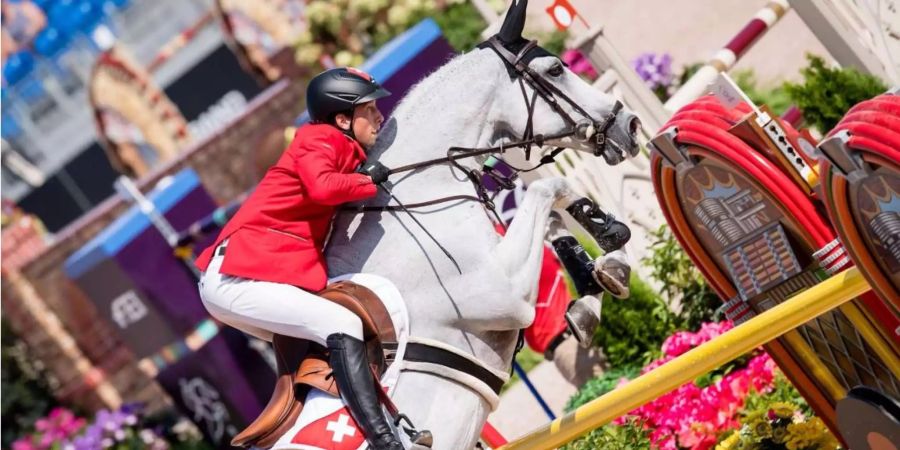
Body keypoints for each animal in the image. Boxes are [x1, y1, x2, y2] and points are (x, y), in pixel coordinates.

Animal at [320, 2, 636, 446]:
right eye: (556, 68)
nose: (630, 125)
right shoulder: (502, 292)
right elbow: (549, 187)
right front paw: (606, 258)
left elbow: (553, 215)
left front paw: (607, 263)